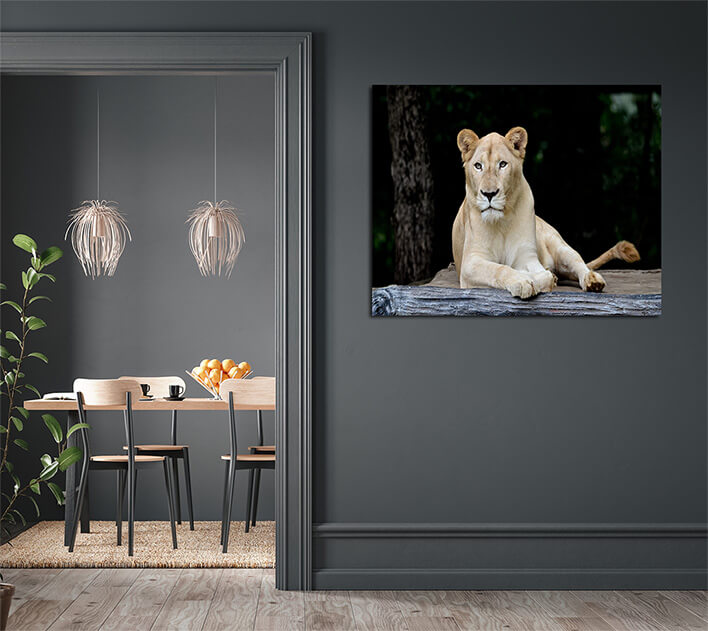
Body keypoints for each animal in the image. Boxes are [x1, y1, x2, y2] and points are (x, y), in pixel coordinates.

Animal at [452, 126, 640, 299]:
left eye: (503, 164)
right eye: (478, 166)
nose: (489, 194)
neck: (501, 221)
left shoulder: (526, 257)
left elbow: (541, 274)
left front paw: (538, 278)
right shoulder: (470, 263)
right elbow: (499, 269)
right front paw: (523, 281)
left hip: (560, 248)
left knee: (579, 265)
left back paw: (592, 281)